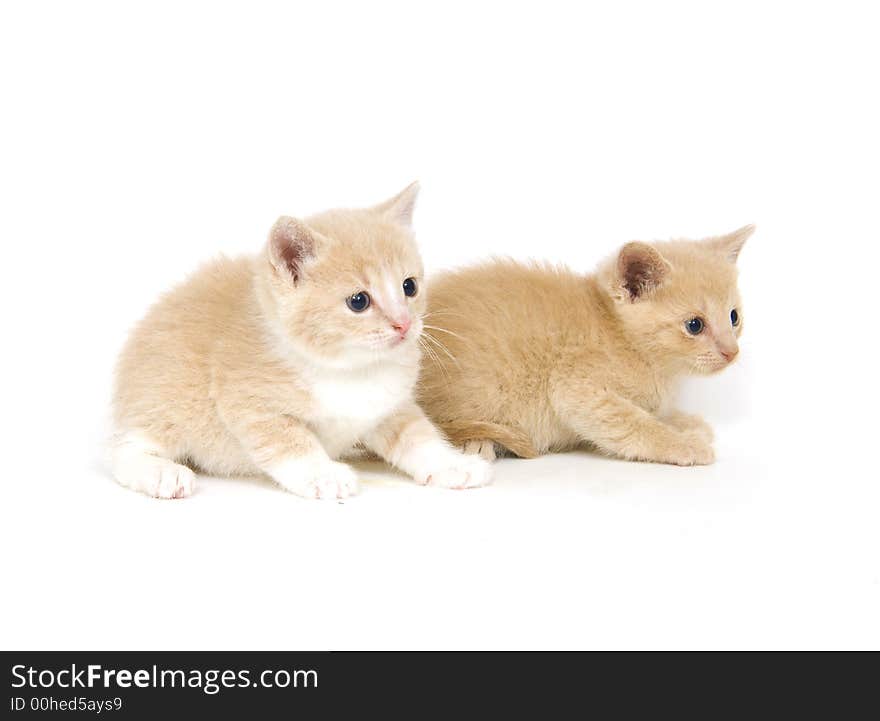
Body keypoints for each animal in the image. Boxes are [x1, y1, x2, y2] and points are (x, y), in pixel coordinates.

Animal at [110, 183, 492, 498]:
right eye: (359, 301)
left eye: (409, 286)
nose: (404, 324)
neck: (348, 368)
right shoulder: (248, 401)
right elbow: (290, 442)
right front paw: (323, 474)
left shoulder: (390, 405)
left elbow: (417, 435)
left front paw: (451, 464)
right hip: (167, 400)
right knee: (118, 449)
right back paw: (161, 472)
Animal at [416, 225, 752, 464]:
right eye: (695, 325)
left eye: (734, 317)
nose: (731, 352)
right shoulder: (574, 386)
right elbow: (634, 423)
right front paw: (684, 444)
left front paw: (684, 422)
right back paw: (478, 444)